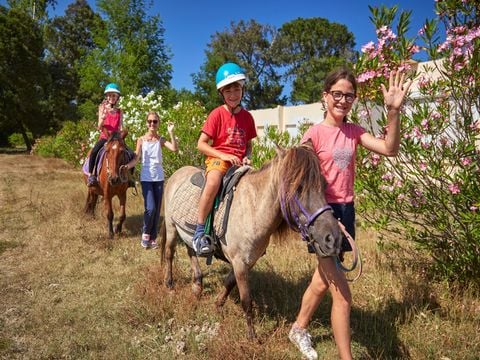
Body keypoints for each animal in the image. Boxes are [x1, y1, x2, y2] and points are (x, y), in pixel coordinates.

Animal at [159, 142, 344, 338]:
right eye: (298, 187)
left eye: (324, 184)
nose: (333, 238)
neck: (253, 208)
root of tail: (177, 173)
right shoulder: (239, 261)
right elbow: (246, 299)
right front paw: (251, 335)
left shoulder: (247, 261)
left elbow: (229, 282)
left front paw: (217, 304)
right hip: (171, 227)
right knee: (169, 253)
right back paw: (170, 286)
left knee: (191, 250)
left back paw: (197, 285)